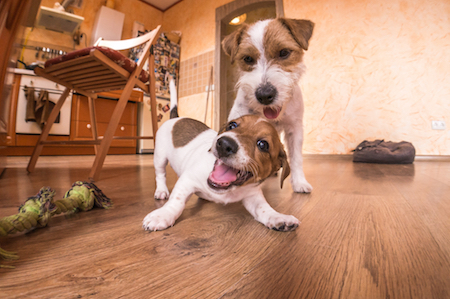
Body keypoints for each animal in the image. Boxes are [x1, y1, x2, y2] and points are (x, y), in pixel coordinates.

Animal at [144, 86, 298, 232]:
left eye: (263, 145)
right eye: (232, 125)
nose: (224, 144)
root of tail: (175, 118)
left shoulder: (253, 196)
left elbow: (264, 209)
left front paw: (278, 217)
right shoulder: (187, 179)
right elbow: (176, 201)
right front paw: (163, 215)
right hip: (159, 157)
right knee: (160, 174)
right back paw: (161, 191)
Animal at [221, 18, 312, 195]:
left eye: (284, 52)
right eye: (248, 59)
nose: (264, 95)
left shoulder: (295, 129)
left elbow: (296, 157)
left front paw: (299, 182)